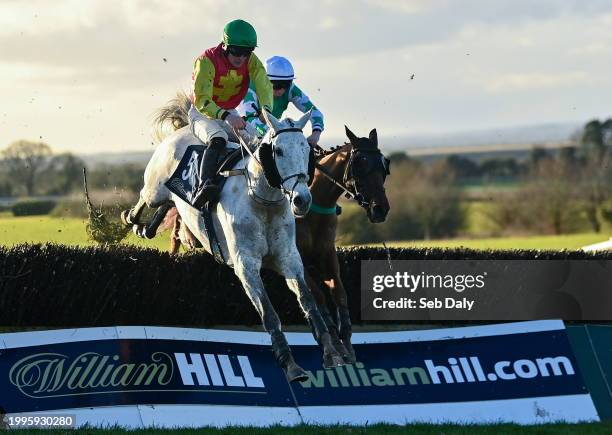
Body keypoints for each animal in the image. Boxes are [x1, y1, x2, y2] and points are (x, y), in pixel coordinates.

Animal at [167, 127, 390, 364]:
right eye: (361, 163)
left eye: (384, 165)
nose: (380, 209)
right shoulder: (297, 257)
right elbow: (318, 295)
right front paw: (335, 346)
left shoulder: (326, 253)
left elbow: (339, 293)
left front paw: (346, 345)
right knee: (177, 233)